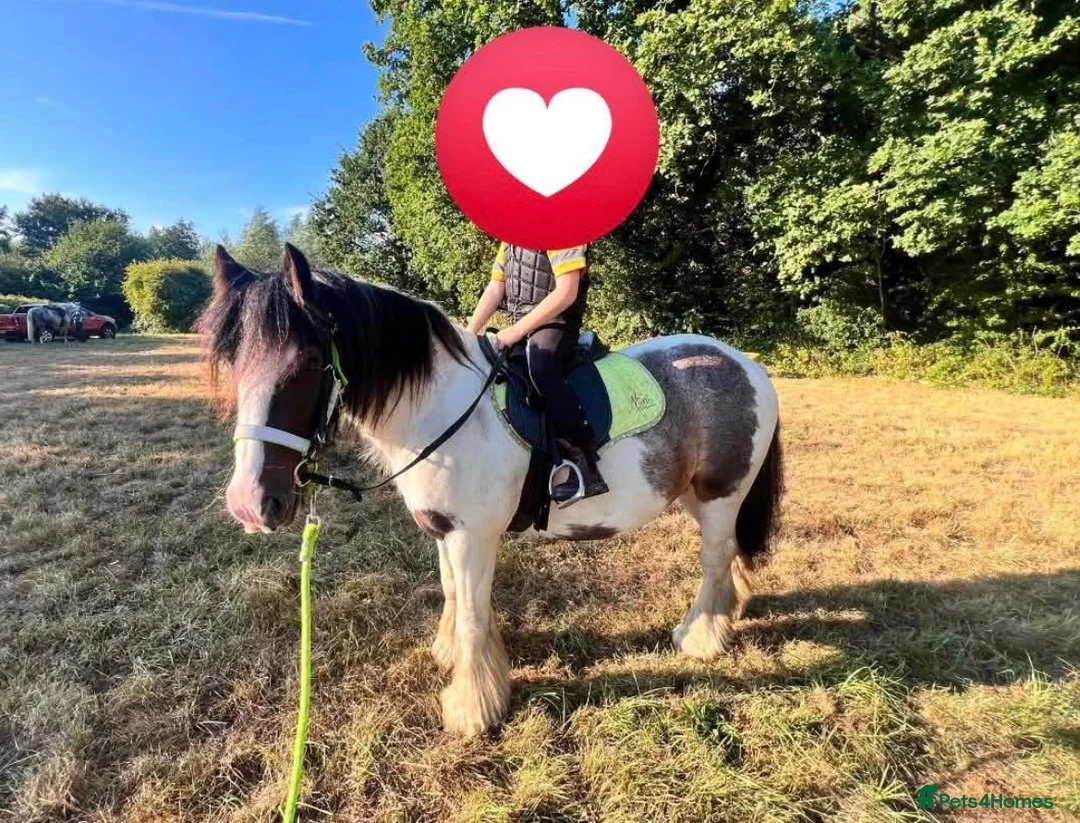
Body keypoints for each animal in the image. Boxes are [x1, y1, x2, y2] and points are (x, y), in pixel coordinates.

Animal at [198, 244, 784, 736]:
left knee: (714, 559)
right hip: (695, 496)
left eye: (306, 364)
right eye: (234, 363)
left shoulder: (473, 536)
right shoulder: (444, 531)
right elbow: (455, 595)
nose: (250, 503)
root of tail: (746, 364)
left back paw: (700, 637)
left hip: (721, 493)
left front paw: (472, 709)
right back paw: (729, 613)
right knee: (728, 552)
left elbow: (475, 617)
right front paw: (450, 657)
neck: (439, 408)